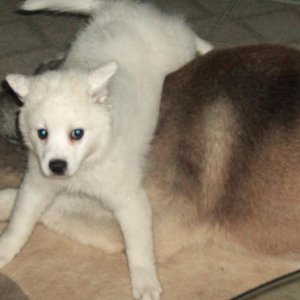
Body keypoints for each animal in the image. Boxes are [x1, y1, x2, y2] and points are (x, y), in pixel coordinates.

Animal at [0, 1, 211, 298]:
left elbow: (138, 247)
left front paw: (145, 282)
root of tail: (117, 7)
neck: (87, 165)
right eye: (42, 133)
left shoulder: (130, 199)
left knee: (187, 33)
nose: (57, 167)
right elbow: (19, 223)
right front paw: (4, 250)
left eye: (77, 134)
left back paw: (206, 45)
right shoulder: (36, 185)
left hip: (175, 47)